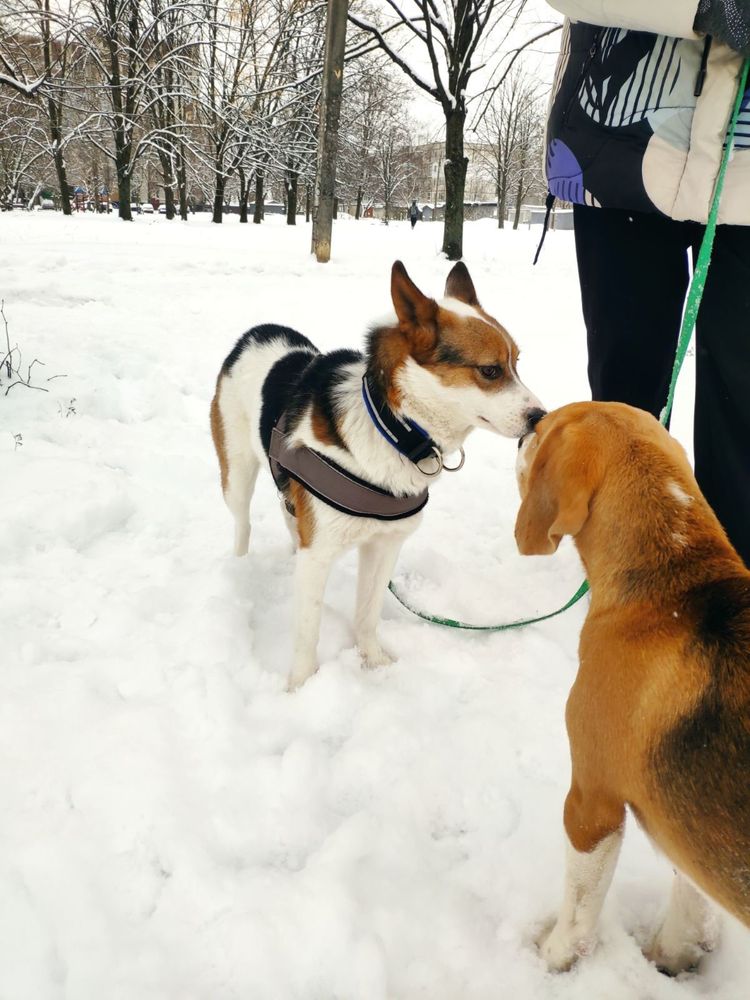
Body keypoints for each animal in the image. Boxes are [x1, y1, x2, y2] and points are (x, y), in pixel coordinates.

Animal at [212, 262, 548, 692]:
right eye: (490, 370)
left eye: (517, 363)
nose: (540, 418)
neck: (394, 426)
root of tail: (259, 331)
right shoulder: (318, 554)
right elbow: (307, 631)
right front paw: (301, 688)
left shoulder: (385, 544)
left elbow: (367, 613)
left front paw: (372, 662)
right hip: (236, 471)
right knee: (242, 523)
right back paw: (240, 566)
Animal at [516, 402, 750, 972]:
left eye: (542, 428)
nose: (526, 423)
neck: (675, 577)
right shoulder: (687, 833)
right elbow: (692, 896)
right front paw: (673, 956)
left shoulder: (591, 804)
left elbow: (579, 915)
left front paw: (553, 960)